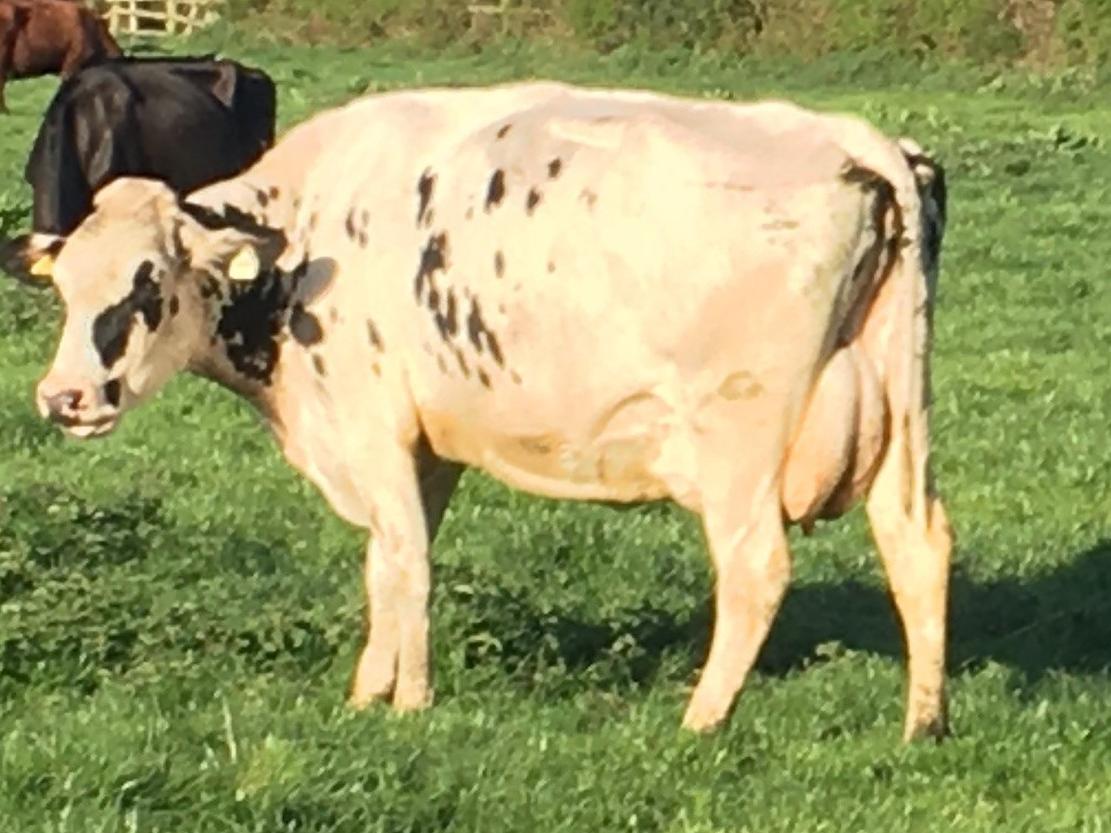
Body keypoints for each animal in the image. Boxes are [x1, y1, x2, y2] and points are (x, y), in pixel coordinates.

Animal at [0, 81, 952, 740]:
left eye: (145, 284)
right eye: (66, 287)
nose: (64, 397)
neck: (303, 240)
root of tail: (853, 138)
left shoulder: (373, 428)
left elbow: (408, 567)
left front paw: (407, 703)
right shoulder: (426, 451)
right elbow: (387, 567)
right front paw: (367, 694)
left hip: (738, 439)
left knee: (756, 569)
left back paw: (700, 719)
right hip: (898, 409)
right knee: (918, 545)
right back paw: (923, 721)